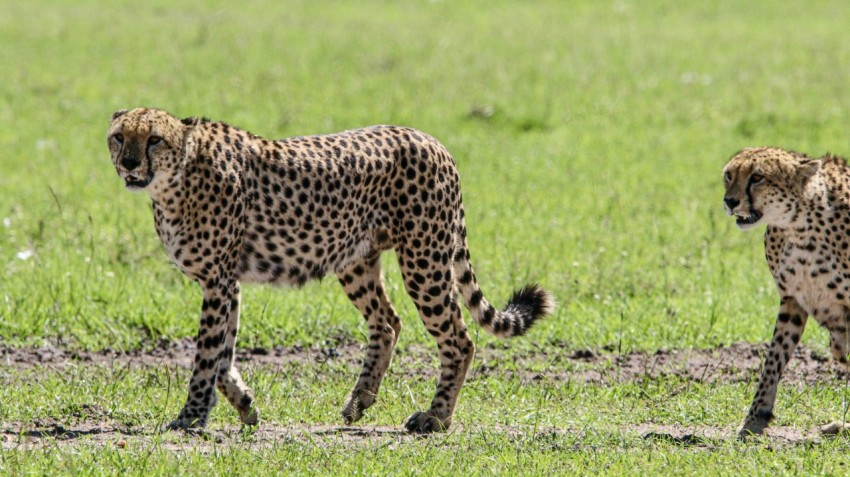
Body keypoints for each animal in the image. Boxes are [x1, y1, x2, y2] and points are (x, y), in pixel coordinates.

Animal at [107, 108, 556, 432]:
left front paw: (191, 417)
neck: (175, 180)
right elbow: (222, 355)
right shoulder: (228, 283)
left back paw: (435, 417)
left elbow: (205, 357)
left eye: (154, 139)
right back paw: (359, 401)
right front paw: (245, 404)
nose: (129, 162)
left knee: (459, 338)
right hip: (356, 260)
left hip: (423, 258)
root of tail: (429, 138)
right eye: (119, 136)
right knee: (387, 322)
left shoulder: (218, 281)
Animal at [720, 147, 848, 436]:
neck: (799, 224)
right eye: (729, 175)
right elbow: (774, 359)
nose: (730, 201)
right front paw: (755, 418)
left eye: (757, 177)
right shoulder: (792, 301)